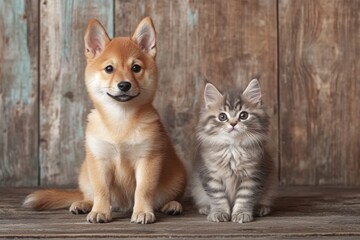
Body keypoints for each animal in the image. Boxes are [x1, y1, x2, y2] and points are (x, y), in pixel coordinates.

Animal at [23, 17, 186, 225]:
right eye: (109, 69)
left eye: (136, 68)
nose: (124, 85)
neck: (121, 119)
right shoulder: (99, 160)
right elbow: (101, 190)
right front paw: (100, 211)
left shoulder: (148, 159)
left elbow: (143, 190)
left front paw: (142, 211)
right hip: (84, 174)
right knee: (89, 194)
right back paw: (84, 204)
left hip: (178, 178)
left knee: (170, 197)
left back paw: (172, 205)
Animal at [193, 79, 278, 223]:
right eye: (222, 117)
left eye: (243, 115)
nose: (233, 123)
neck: (232, 148)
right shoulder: (210, 174)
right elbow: (218, 197)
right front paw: (219, 212)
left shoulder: (254, 175)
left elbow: (245, 197)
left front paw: (241, 213)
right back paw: (206, 208)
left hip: (269, 187)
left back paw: (261, 208)